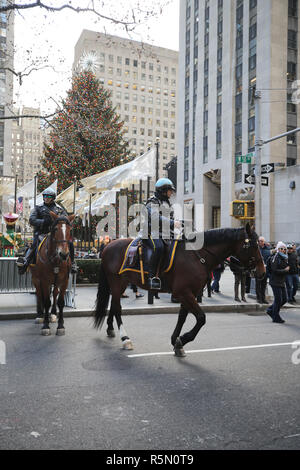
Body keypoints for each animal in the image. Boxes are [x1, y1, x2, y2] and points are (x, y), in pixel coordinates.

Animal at [93, 224, 264, 356]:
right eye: (254, 245)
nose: (262, 272)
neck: (197, 255)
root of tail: (108, 245)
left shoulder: (189, 293)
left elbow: (182, 317)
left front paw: (176, 341)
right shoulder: (183, 292)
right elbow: (201, 317)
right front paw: (183, 339)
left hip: (119, 282)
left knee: (113, 305)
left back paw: (110, 328)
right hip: (117, 281)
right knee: (117, 307)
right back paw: (125, 339)